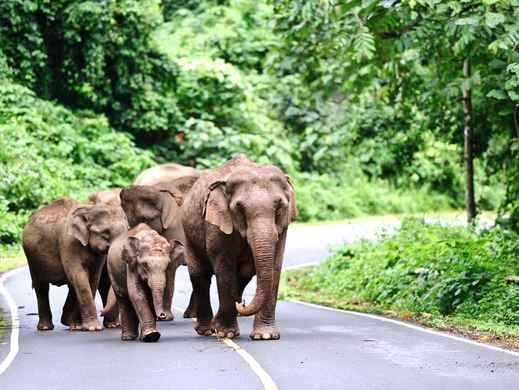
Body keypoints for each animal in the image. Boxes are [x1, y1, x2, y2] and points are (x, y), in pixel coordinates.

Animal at [22, 198, 129, 330]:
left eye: (128, 229)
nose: (101, 312)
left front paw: (82, 326)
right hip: (32, 259)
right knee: (41, 287)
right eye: (105, 233)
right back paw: (47, 327)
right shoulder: (68, 242)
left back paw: (72, 324)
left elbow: (93, 278)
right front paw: (92, 328)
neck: (90, 207)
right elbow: (79, 276)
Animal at [182, 154, 296, 340]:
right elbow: (224, 267)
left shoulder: (283, 226)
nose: (242, 303)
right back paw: (207, 330)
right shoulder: (216, 223)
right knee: (200, 275)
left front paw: (266, 336)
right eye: (239, 208)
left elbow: (274, 266)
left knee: (243, 275)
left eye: (279, 207)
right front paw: (226, 333)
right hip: (188, 233)